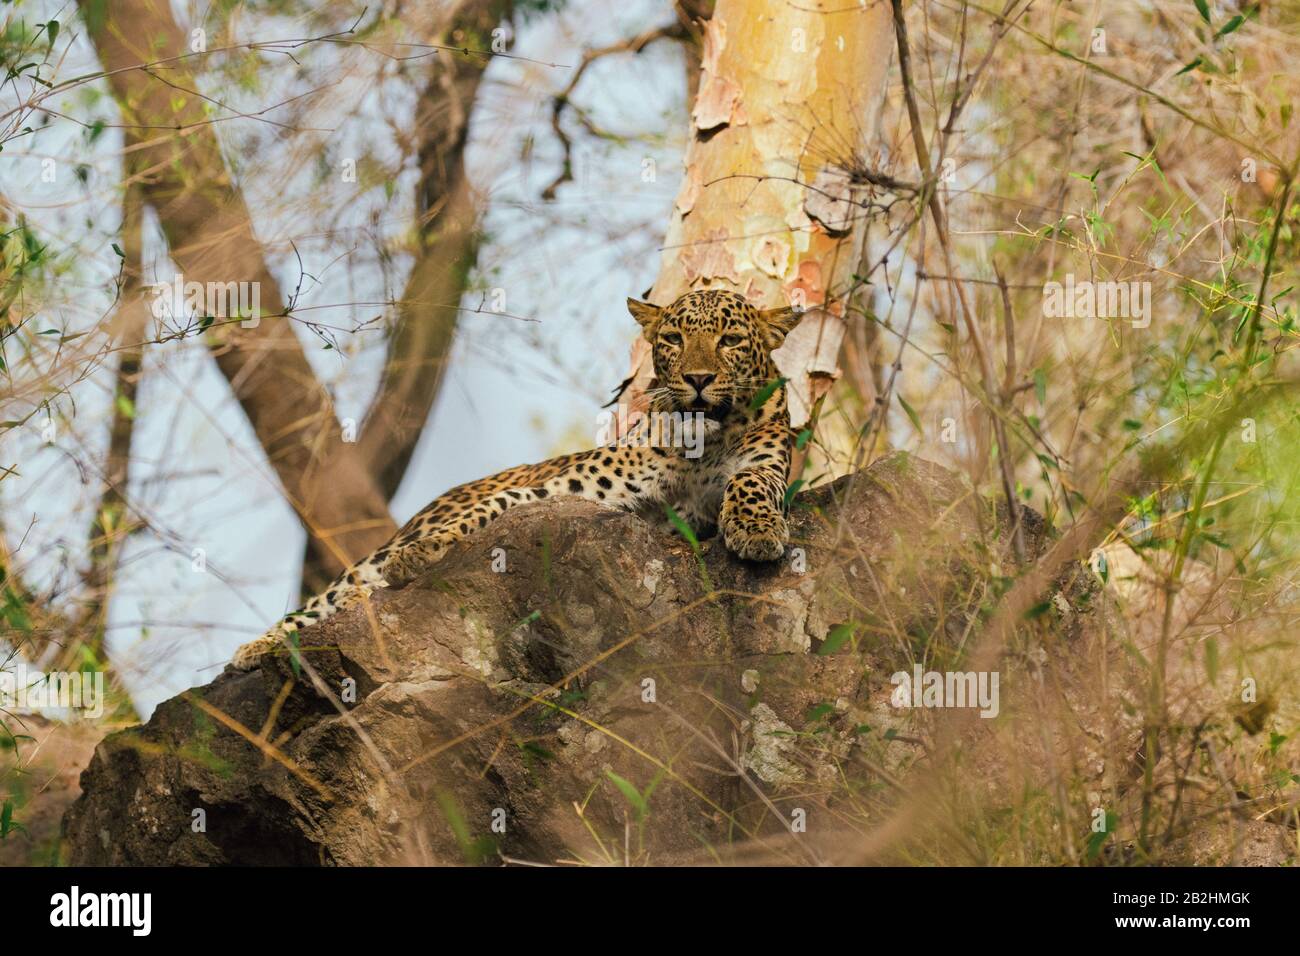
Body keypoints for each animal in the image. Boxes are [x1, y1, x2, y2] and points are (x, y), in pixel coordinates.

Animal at [230, 288, 800, 670]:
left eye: (730, 340)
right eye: (674, 340)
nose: (698, 380)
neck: (703, 443)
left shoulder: (764, 466)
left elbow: (750, 483)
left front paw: (755, 531)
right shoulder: (576, 487)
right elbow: (506, 503)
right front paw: (424, 553)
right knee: (330, 597)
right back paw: (259, 646)